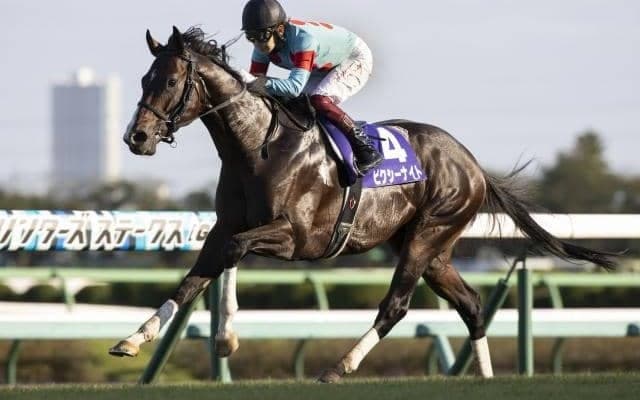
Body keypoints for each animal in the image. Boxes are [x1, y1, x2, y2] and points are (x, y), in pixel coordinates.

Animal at [110, 26, 616, 381]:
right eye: (144, 78)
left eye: (170, 80)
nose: (136, 137)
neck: (257, 147)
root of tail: (471, 163)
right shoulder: (223, 227)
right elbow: (191, 281)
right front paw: (134, 339)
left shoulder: (297, 238)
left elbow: (234, 252)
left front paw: (226, 338)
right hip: (431, 248)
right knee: (472, 304)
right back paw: (486, 377)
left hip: (427, 235)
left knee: (395, 306)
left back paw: (339, 366)